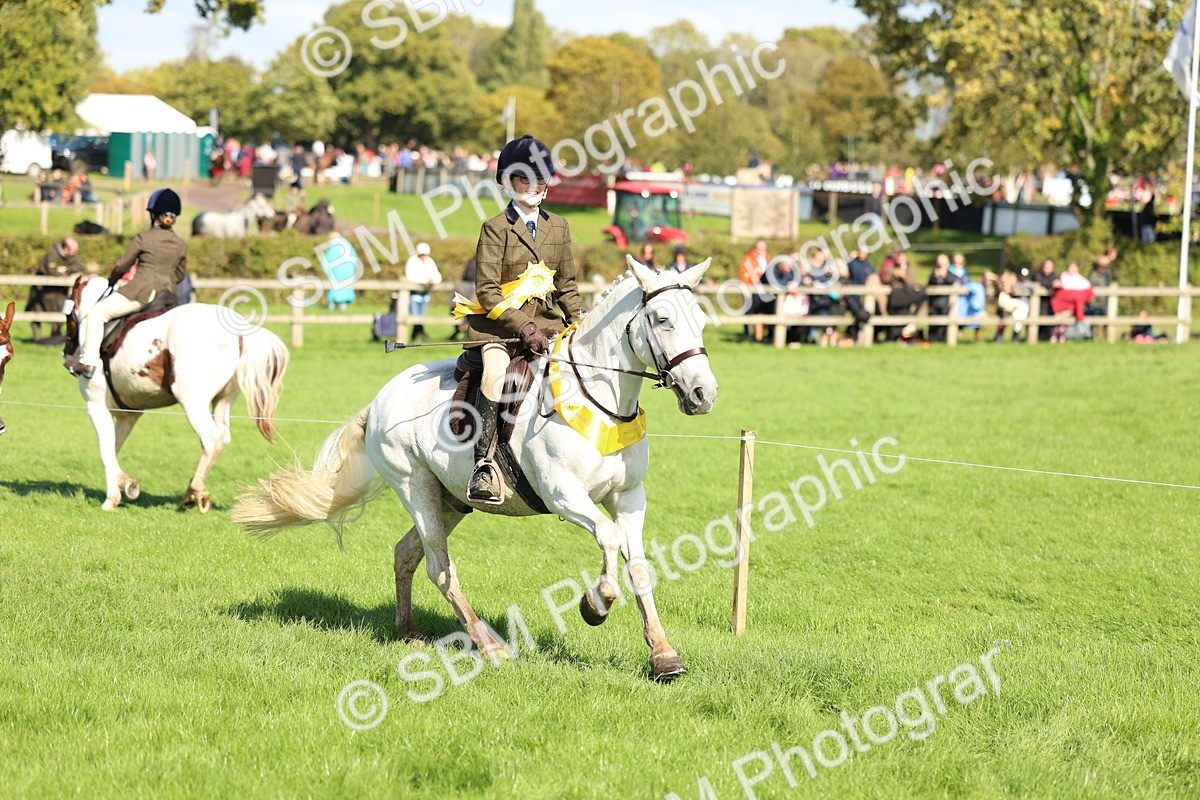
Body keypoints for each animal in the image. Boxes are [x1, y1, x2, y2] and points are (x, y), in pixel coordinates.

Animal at [66, 276, 290, 511]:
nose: (67, 353)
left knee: (210, 439)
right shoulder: (130, 414)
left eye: (68, 314)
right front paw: (125, 485)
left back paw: (196, 491)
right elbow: (113, 448)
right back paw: (190, 492)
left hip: (192, 401)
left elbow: (105, 450)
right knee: (222, 438)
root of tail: (238, 331)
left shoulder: (96, 405)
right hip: (223, 399)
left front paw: (113, 497)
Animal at [232, 256, 719, 680]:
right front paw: (594, 606)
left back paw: (410, 632)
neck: (598, 404)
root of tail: (379, 399)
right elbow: (609, 537)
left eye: (699, 318)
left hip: (450, 499)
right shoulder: (565, 495)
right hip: (415, 487)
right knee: (439, 567)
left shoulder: (629, 497)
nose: (703, 394)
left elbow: (638, 566)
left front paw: (663, 655)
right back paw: (489, 645)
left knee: (407, 554)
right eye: (662, 320)